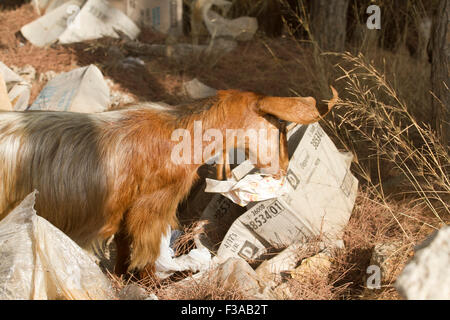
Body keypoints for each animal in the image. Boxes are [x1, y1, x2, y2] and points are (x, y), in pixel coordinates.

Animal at [0, 87, 338, 276]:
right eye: (280, 126)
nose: (284, 168)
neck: (181, 134)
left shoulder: (126, 213)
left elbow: (123, 249)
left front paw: (120, 280)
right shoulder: (151, 210)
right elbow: (146, 257)